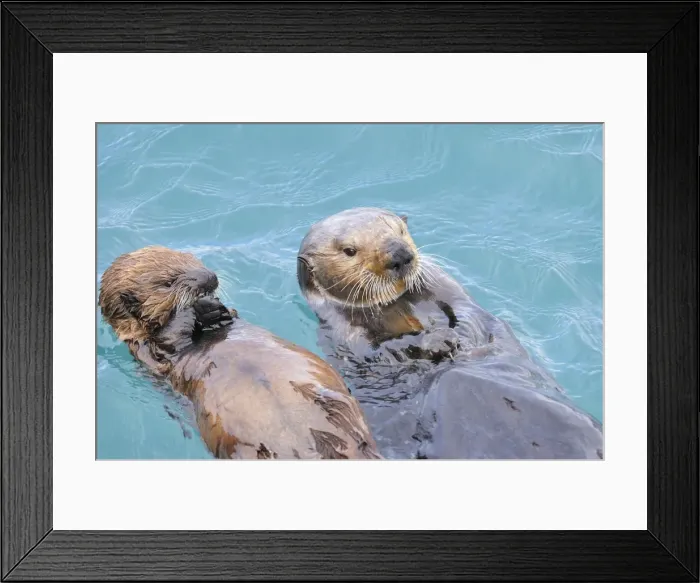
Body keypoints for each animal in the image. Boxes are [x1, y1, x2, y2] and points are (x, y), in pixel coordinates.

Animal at [99, 245, 382, 460]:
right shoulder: (148, 353)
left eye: (191, 259)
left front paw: (213, 307)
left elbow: (229, 316)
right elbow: (170, 340)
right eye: (168, 283)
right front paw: (195, 310)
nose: (210, 277)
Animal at [296, 207, 603, 460]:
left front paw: (450, 337)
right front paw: (432, 342)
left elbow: (467, 313)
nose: (399, 254)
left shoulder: (441, 282)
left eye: (400, 230)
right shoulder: (343, 331)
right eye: (349, 250)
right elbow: (379, 355)